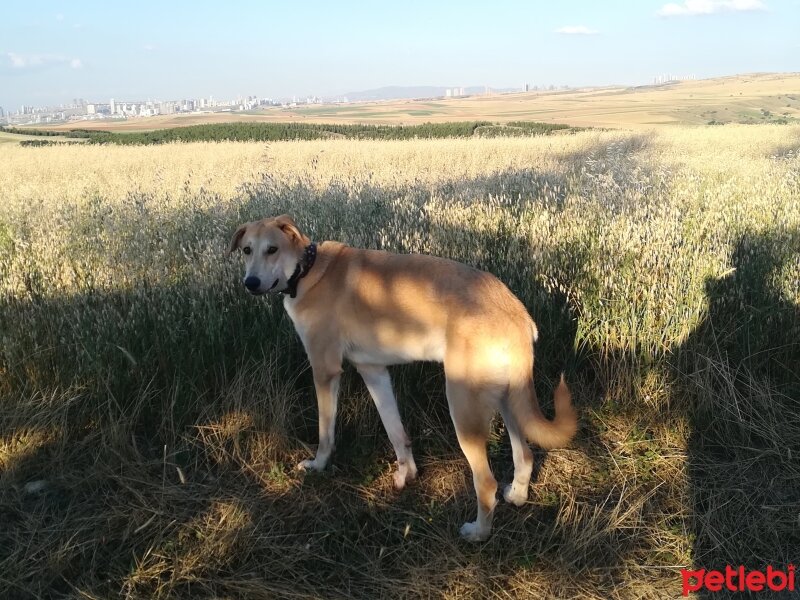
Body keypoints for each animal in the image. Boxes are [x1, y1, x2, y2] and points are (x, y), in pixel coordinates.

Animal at [228, 214, 580, 540]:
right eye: (247, 250)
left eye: (272, 249)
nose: (250, 282)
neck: (308, 270)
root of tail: (516, 313)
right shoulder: (373, 371)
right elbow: (395, 429)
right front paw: (406, 474)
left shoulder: (325, 371)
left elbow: (325, 432)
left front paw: (318, 465)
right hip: (507, 398)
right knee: (526, 454)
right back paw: (517, 495)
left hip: (463, 405)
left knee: (486, 482)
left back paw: (478, 532)